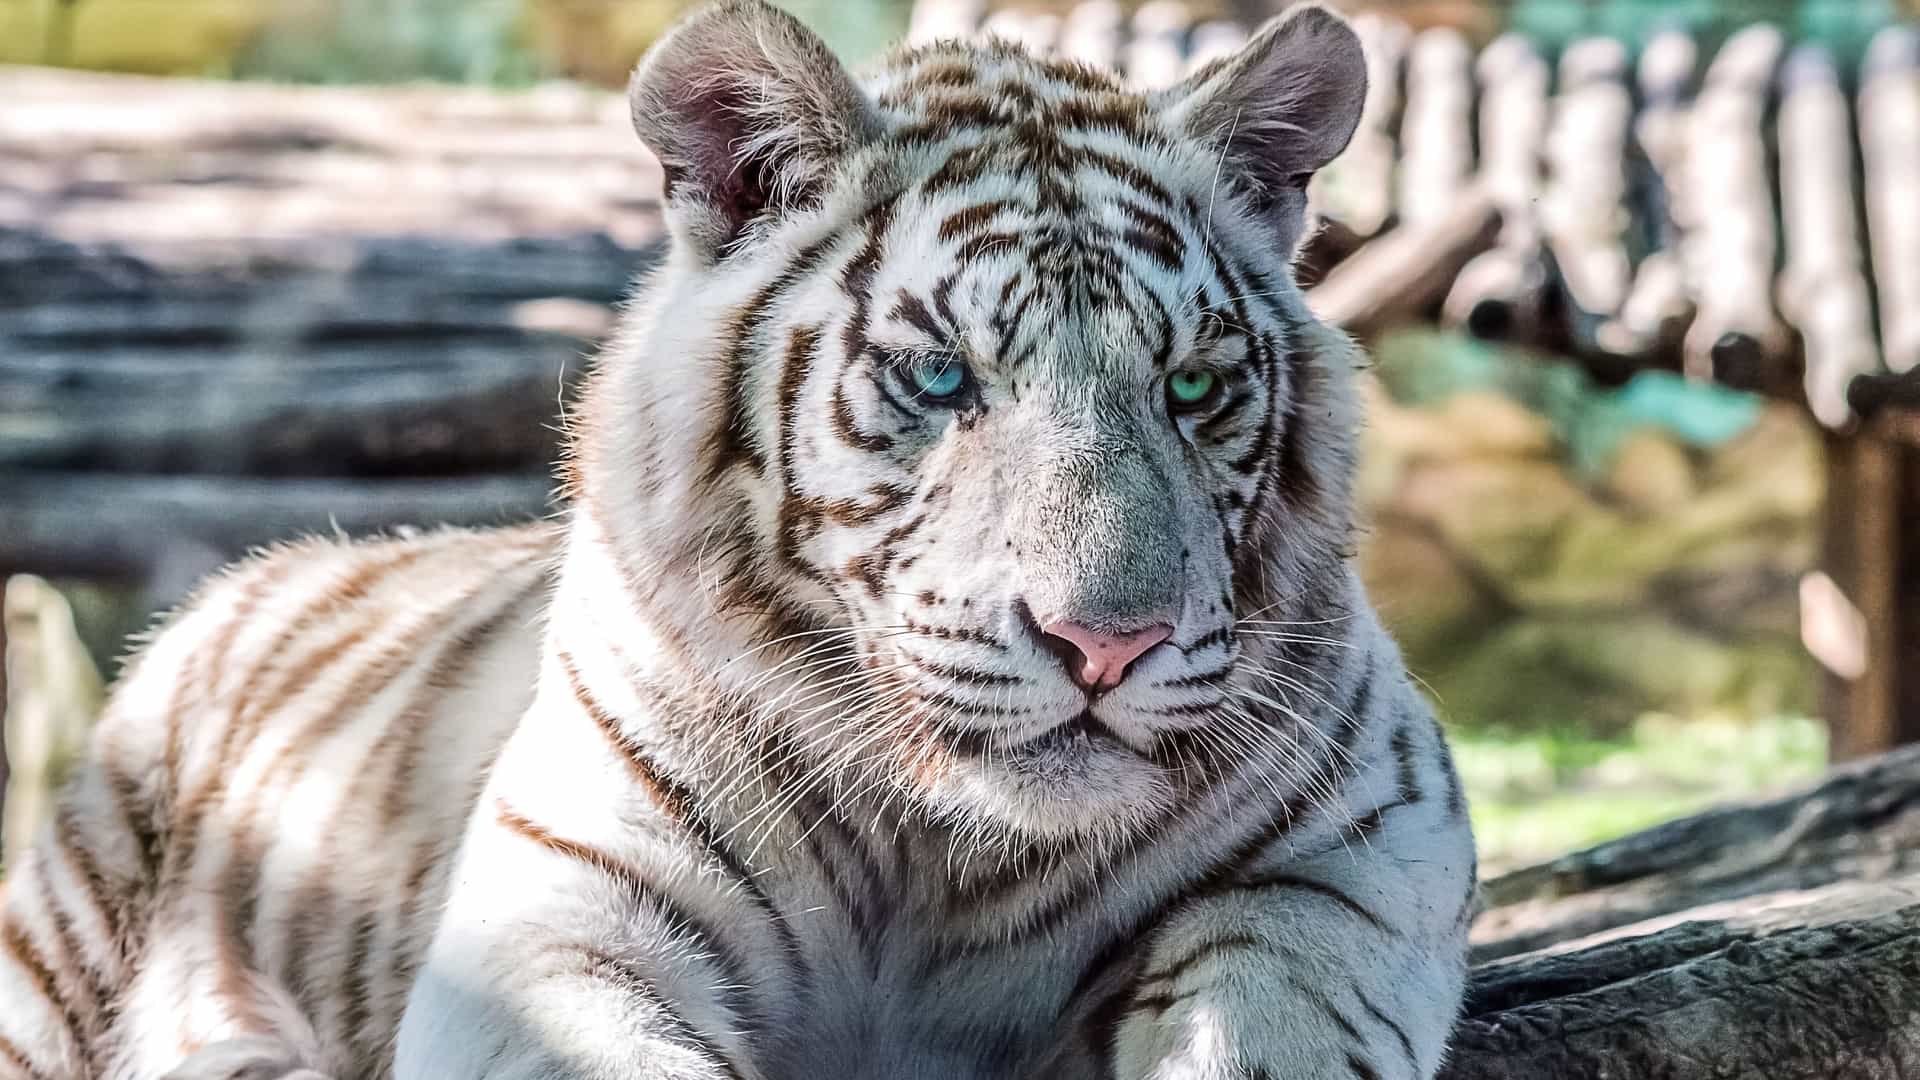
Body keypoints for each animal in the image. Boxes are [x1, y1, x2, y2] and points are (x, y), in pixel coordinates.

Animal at [0, 2, 1477, 1078]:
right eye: (940, 377)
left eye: (1192, 387)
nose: (1106, 646)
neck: (940, 861)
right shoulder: (557, 927)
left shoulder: (1358, 848)